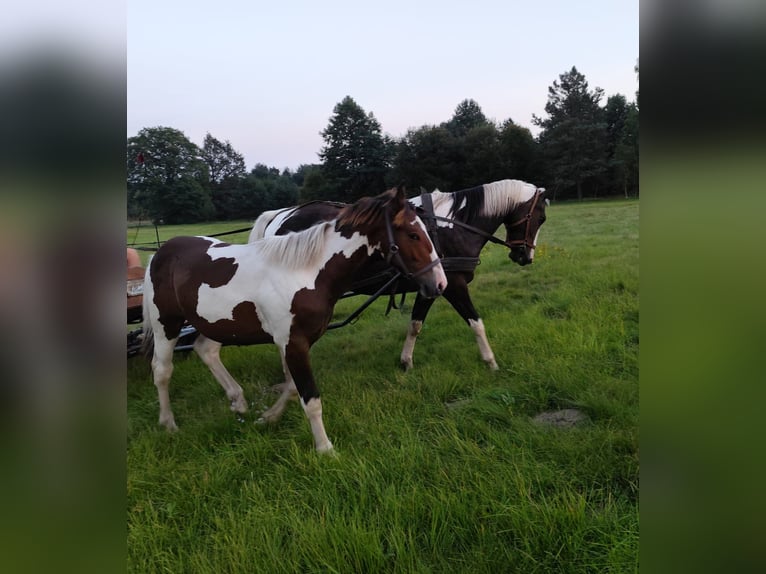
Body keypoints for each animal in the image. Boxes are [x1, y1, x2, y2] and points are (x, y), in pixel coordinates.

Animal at [142, 188, 450, 454]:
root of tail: (161, 252)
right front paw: (326, 449)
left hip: (216, 324)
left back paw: (238, 402)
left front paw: (267, 418)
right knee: (162, 370)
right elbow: (310, 398)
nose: (439, 283)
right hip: (167, 324)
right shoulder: (293, 343)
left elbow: (291, 388)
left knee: (205, 350)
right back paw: (169, 423)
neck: (307, 272)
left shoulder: (292, 343)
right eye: (413, 234)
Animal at [255, 178, 548, 372]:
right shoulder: (453, 284)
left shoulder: (432, 285)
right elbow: (476, 322)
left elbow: (415, 324)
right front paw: (491, 362)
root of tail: (282, 215)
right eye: (541, 218)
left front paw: (406, 361)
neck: (452, 225)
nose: (525, 256)